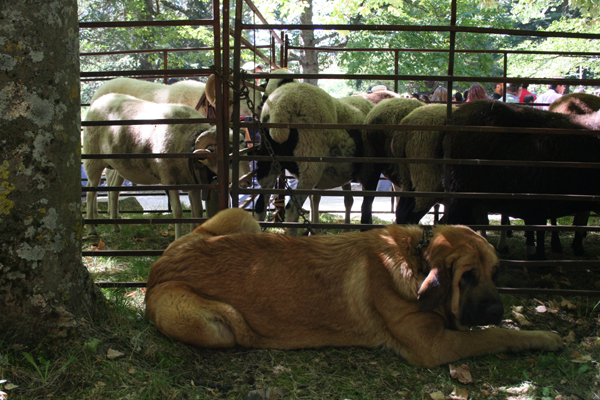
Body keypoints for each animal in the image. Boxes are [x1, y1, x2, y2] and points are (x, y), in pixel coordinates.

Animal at [83, 94, 250, 239]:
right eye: (228, 158)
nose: (247, 181)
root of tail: (99, 100)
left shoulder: (192, 183)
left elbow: (197, 211)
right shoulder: (168, 178)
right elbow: (178, 212)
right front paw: (177, 238)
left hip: (118, 166)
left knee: (113, 192)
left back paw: (115, 226)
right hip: (93, 160)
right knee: (91, 192)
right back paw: (91, 229)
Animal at [145, 208, 564, 368]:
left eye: (495, 272)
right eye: (467, 277)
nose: (498, 309)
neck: (415, 260)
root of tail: (160, 266)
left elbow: (489, 331)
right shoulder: (435, 346)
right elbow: (493, 336)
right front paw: (540, 336)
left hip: (241, 217)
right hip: (214, 325)